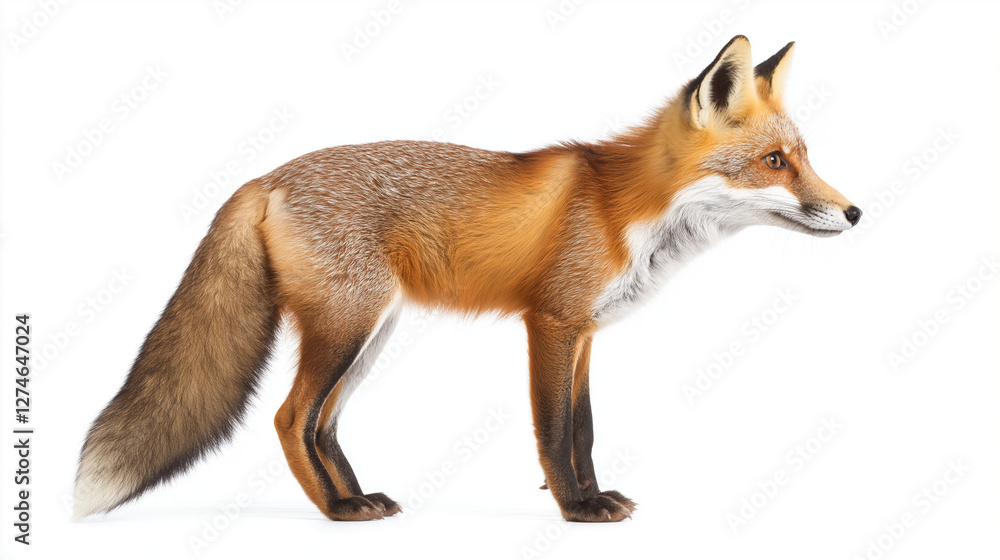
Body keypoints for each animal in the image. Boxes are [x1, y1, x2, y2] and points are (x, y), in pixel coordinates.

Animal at [74, 36, 861, 523]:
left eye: (804, 155)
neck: (624, 210)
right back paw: (337, 512)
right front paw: (576, 510)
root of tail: (265, 177)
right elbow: (555, 429)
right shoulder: (550, 323)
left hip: (370, 333)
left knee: (324, 424)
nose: (856, 212)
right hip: (346, 326)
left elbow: (585, 428)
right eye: (775, 163)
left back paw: (359, 498)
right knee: (290, 417)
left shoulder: (585, 333)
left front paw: (591, 494)